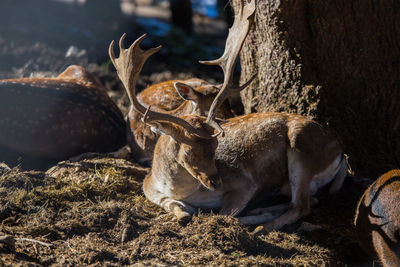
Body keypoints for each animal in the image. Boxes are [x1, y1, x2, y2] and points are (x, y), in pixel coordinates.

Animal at [108, 0, 346, 232]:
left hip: (303, 149)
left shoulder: (244, 182)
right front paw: (182, 213)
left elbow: (224, 214)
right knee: (308, 200)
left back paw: (261, 225)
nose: (216, 183)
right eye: (188, 151)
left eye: (216, 148)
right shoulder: (149, 187)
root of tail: (341, 153)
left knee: (302, 205)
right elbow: (175, 206)